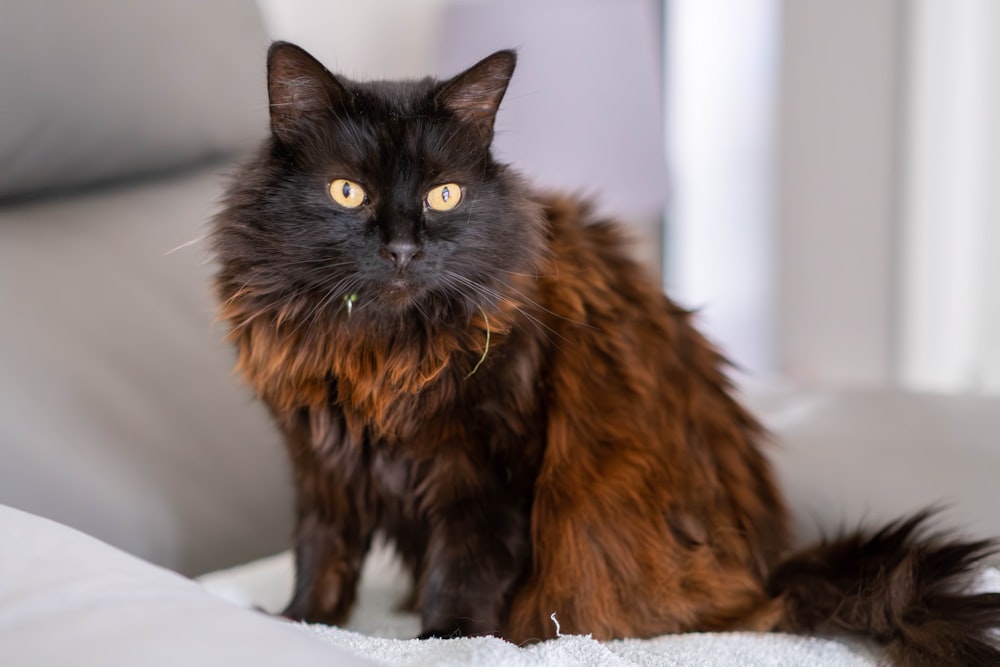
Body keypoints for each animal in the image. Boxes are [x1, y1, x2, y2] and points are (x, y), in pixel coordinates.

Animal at [211, 43, 1000, 667]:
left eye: (444, 195)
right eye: (347, 191)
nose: (403, 249)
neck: (379, 354)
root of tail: (773, 572)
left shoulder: (488, 467)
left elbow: (463, 569)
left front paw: (447, 641)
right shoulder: (320, 461)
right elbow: (322, 556)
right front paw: (297, 624)